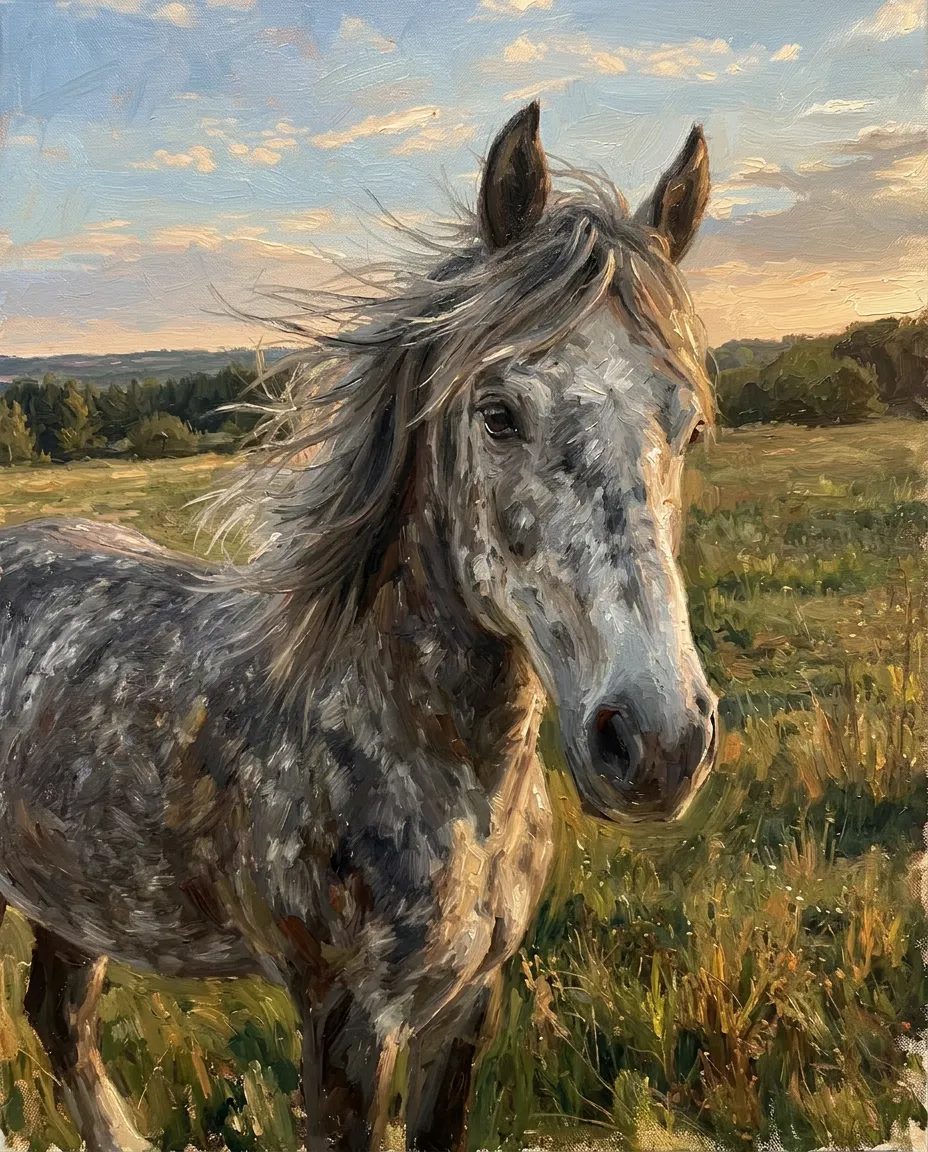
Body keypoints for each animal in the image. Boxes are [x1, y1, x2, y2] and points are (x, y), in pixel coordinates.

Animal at [0, 100, 717, 1152]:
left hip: (74, 896)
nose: (660, 743)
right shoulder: (346, 1028)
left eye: (690, 424)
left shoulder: (468, 1006)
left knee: (59, 1014)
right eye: (497, 412)